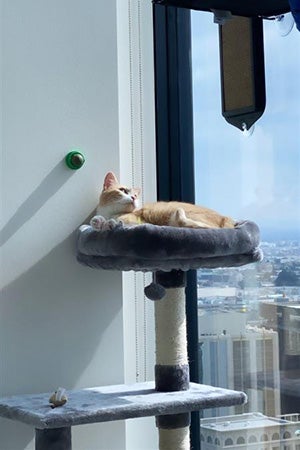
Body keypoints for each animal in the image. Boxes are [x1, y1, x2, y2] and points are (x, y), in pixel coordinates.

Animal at [90, 171, 236, 230]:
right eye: (123, 190)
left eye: (135, 195)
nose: (133, 197)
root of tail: (226, 218)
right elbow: (96, 221)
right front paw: (99, 222)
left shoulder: (135, 220)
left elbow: (118, 221)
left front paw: (109, 223)